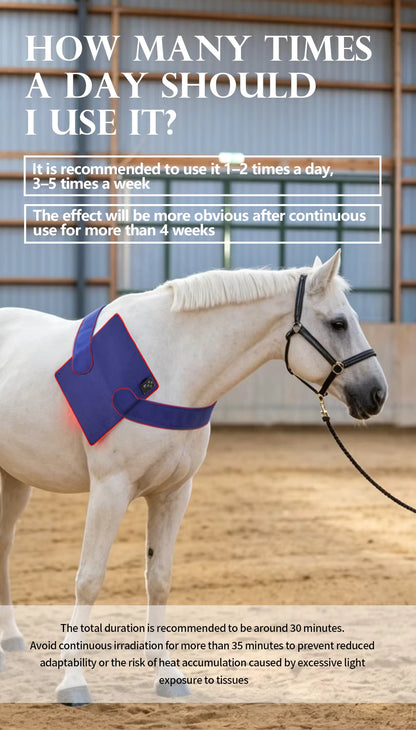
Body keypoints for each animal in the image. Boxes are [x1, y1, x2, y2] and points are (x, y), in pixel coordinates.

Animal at [0, 250, 387, 703]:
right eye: (338, 323)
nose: (377, 394)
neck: (168, 369)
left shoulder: (173, 493)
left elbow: (159, 579)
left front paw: (167, 676)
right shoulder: (110, 489)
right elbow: (89, 580)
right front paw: (73, 681)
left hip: (14, 479)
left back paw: (10, 637)